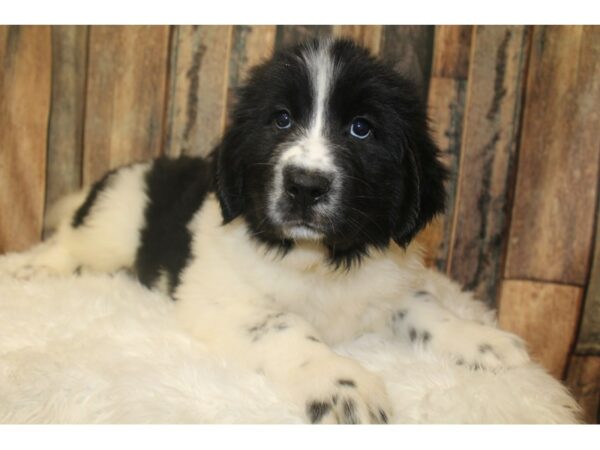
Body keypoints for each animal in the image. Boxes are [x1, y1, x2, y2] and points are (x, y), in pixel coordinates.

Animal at [7, 39, 528, 426]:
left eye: (361, 129)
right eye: (281, 119)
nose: (305, 185)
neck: (318, 257)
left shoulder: (389, 281)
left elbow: (426, 309)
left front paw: (485, 341)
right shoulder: (227, 300)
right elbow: (288, 327)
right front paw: (343, 385)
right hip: (114, 220)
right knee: (69, 242)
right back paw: (32, 267)